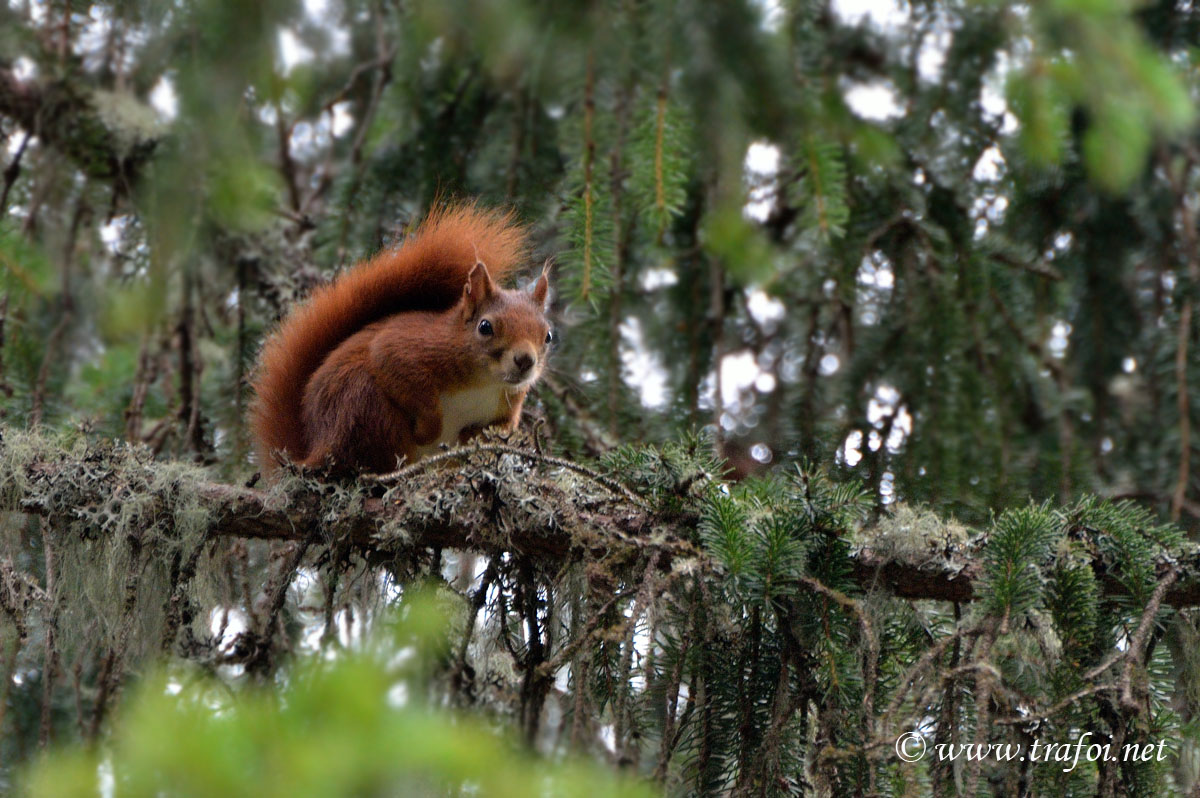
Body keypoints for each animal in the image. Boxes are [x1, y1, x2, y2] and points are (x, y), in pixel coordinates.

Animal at [250, 204, 552, 474]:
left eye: (548, 335)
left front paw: (472, 439)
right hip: (363, 404)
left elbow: (493, 431)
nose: (525, 360)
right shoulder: (411, 347)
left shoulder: (506, 411)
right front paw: (427, 431)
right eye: (485, 326)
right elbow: (399, 369)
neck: (485, 382)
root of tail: (311, 455)